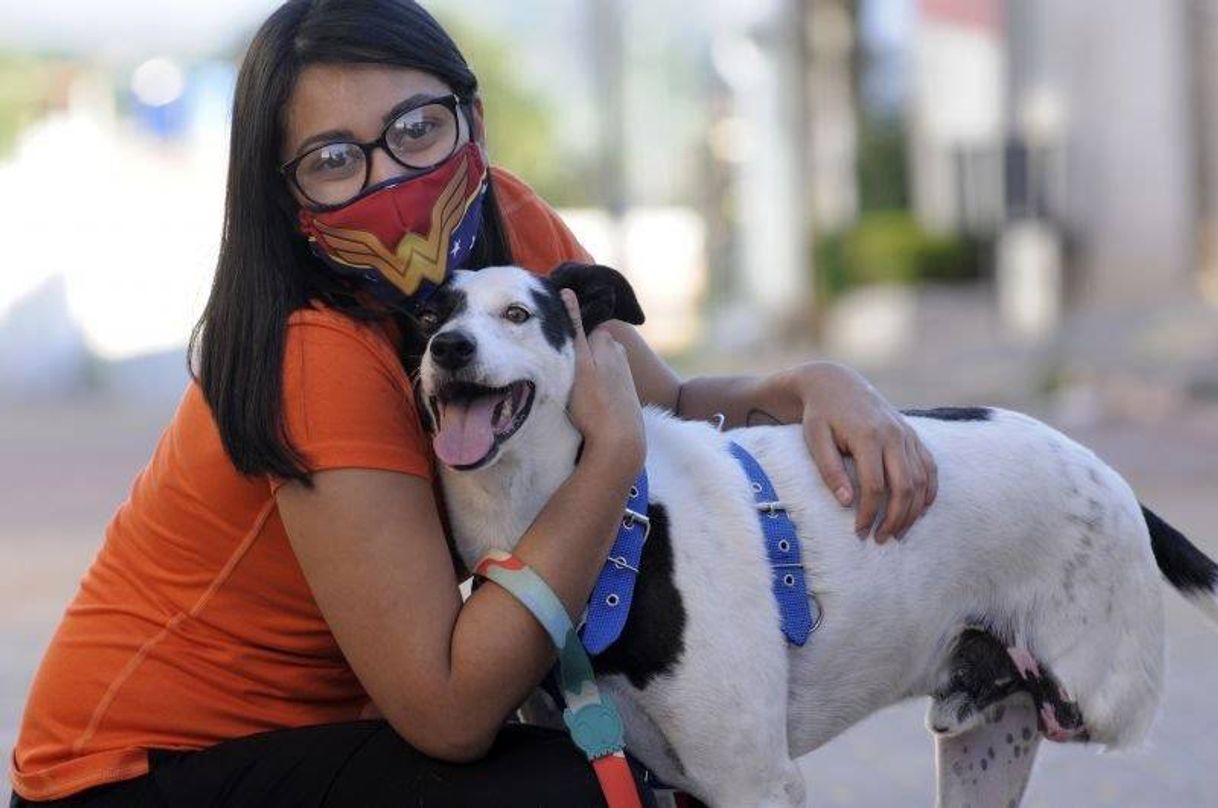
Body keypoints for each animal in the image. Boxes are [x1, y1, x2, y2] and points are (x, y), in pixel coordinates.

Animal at [411, 262, 1218, 804]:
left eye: (518, 314)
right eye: (429, 317)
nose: (448, 347)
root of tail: (1114, 480)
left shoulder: (754, 784)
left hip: (1098, 694)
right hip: (986, 746)